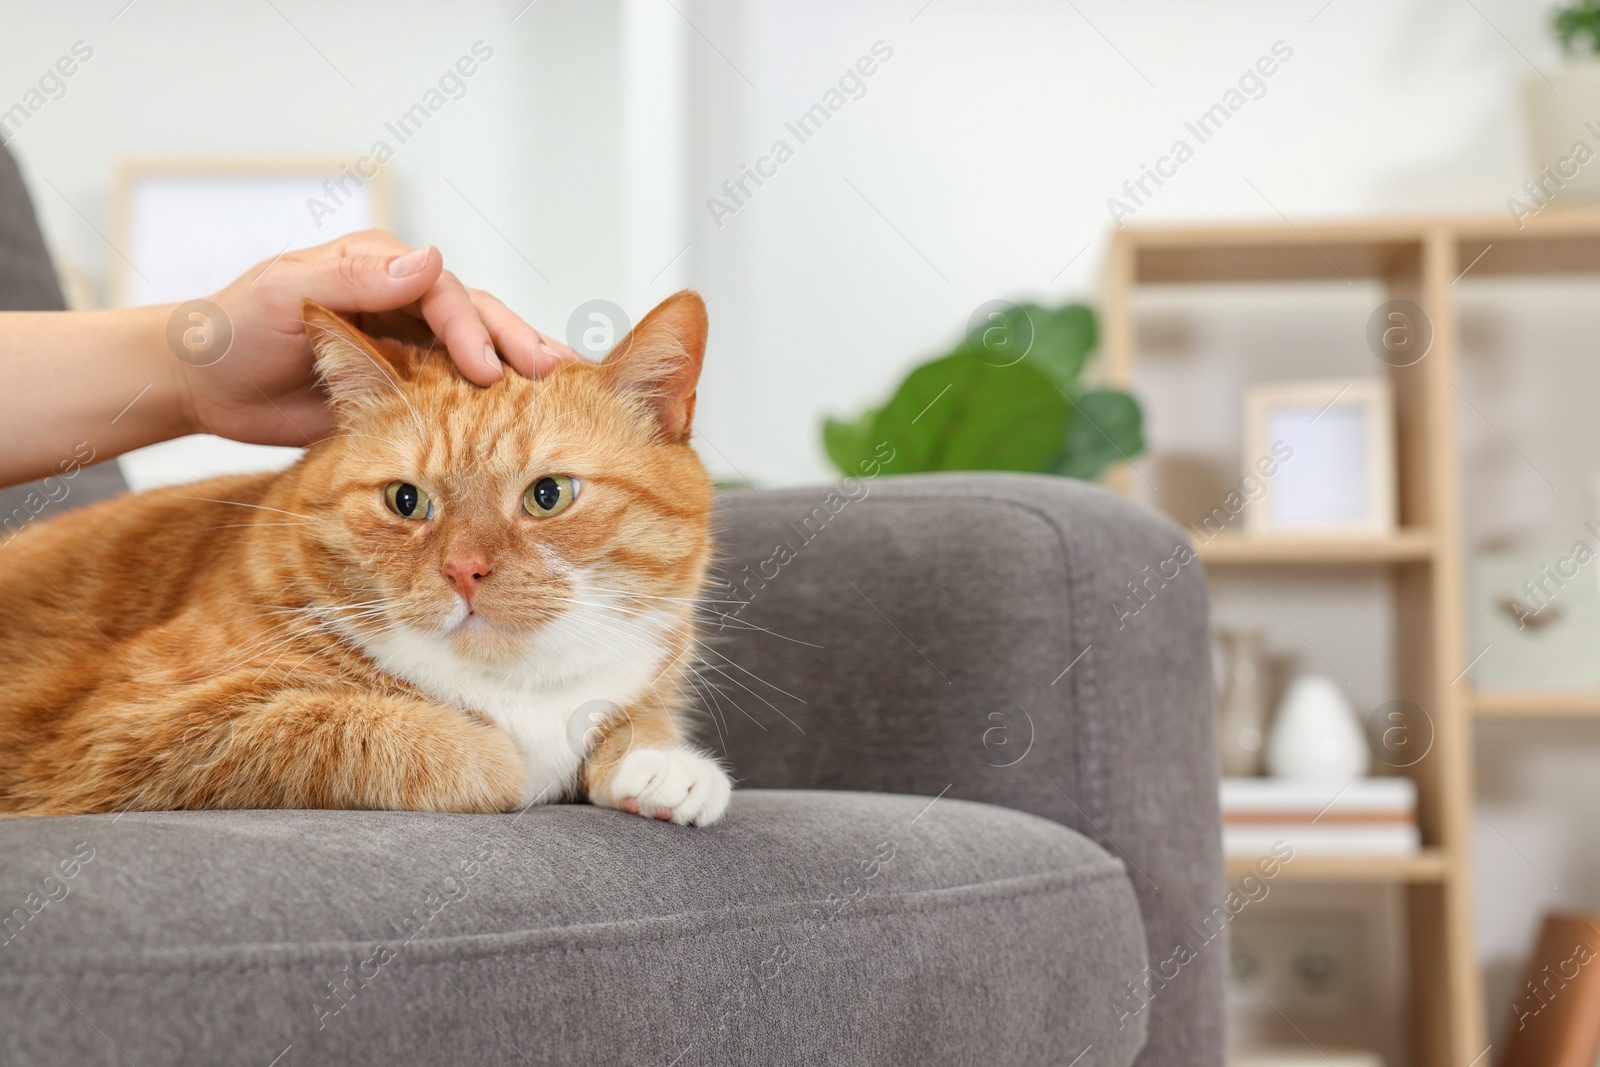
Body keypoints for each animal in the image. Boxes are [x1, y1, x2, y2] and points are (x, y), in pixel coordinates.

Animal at [0, 286, 732, 825]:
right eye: (406, 500)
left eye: (549, 495)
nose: (464, 571)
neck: (518, 687)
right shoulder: (130, 727)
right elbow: (411, 737)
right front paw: (516, 761)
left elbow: (636, 714)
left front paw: (664, 762)